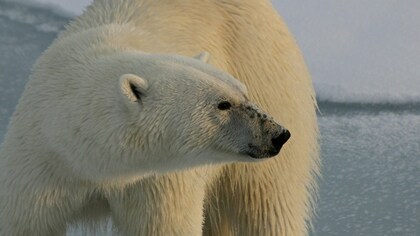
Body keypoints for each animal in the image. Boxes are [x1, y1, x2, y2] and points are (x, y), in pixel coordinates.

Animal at [0, 0, 318, 235]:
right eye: (223, 104)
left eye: (242, 92)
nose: (277, 134)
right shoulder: (41, 166)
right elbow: (26, 223)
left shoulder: (157, 182)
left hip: (265, 66)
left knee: (269, 202)